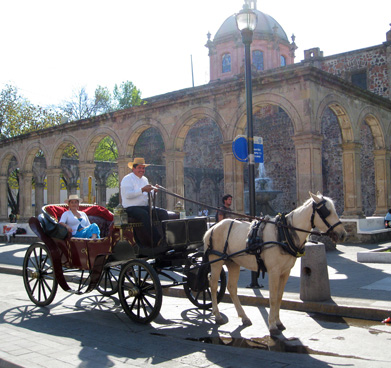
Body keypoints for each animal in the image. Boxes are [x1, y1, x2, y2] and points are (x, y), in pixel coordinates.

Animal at [204, 191, 348, 334]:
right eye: (326, 211)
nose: (342, 234)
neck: (283, 233)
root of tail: (212, 228)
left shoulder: (285, 271)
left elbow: (279, 296)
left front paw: (278, 322)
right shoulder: (274, 271)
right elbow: (272, 297)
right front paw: (272, 325)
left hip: (233, 262)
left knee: (232, 287)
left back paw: (244, 317)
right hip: (216, 261)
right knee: (213, 285)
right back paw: (217, 315)